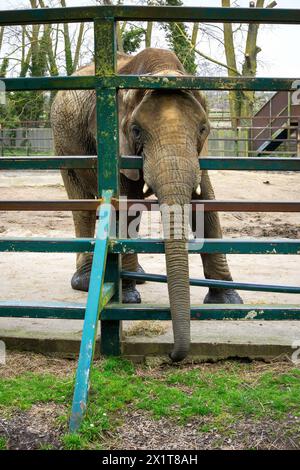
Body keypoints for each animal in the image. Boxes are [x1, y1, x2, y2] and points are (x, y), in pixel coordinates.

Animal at [51, 47, 241, 362]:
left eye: (203, 129)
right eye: (137, 130)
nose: (173, 355)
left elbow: (205, 200)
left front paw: (228, 301)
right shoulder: (112, 138)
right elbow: (127, 202)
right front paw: (127, 299)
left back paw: (136, 276)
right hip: (64, 145)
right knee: (82, 205)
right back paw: (89, 282)